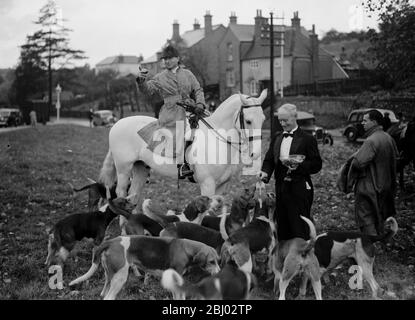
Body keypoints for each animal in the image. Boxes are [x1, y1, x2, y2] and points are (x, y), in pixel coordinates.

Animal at [99, 88, 268, 202]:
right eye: (248, 121)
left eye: (264, 119)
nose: (256, 154)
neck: (217, 139)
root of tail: (117, 124)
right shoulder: (207, 185)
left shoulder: (221, 187)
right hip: (123, 170)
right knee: (121, 193)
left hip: (140, 168)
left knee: (133, 195)